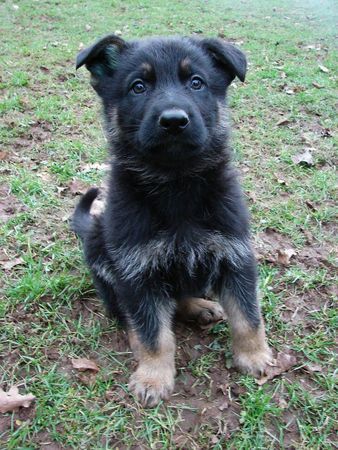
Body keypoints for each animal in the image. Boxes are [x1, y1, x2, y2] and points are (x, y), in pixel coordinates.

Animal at [72, 34, 274, 408]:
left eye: (196, 82)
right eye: (138, 86)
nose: (174, 121)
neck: (176, 182)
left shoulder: (236, 256)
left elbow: (248, 316)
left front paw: (255, 356)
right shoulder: (137, 272)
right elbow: (153, 333)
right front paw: (153, 376)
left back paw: (200, 306)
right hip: (101, 256)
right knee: (129, 316)